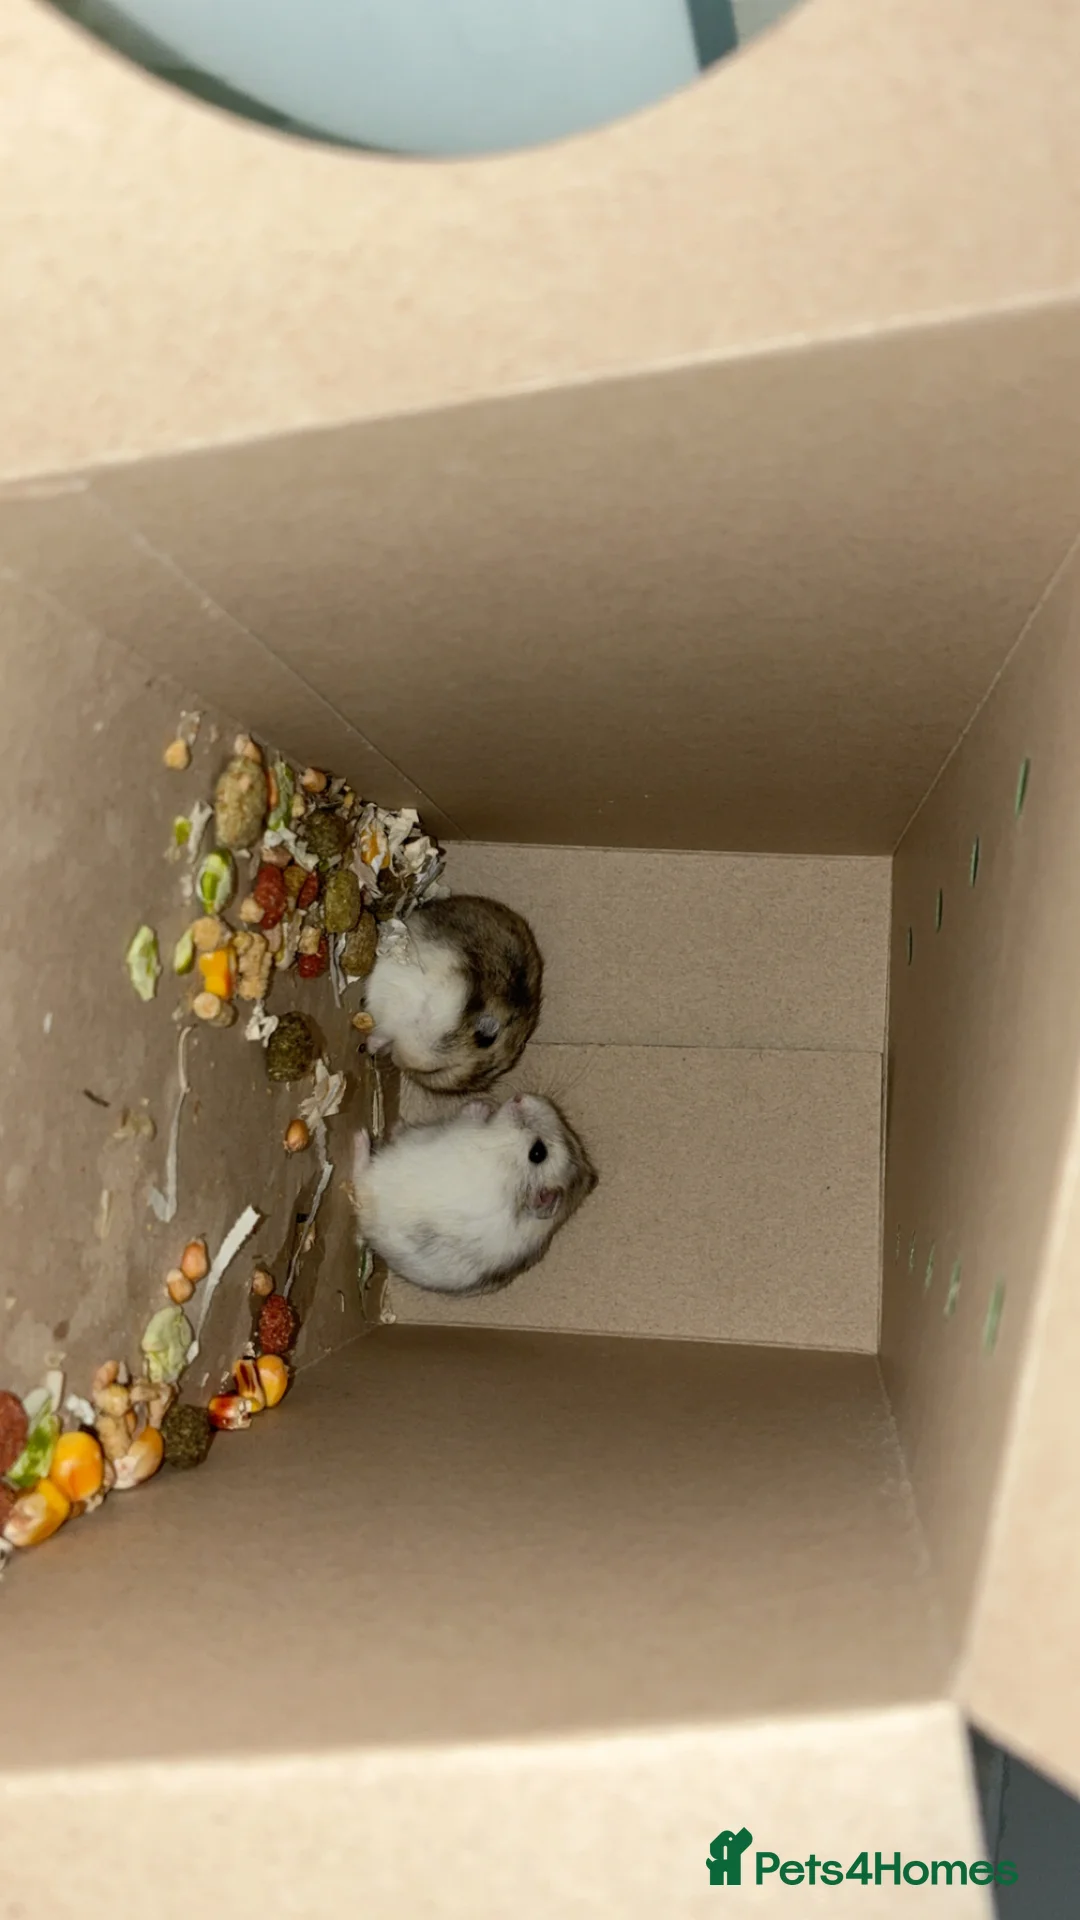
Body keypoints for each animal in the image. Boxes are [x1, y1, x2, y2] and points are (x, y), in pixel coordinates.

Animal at [351, 1092, 597, 1295]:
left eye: (538, 1152)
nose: (519, 1097)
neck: (507, 1160)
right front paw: (484, 1103)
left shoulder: (465, 1127)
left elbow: (467, 1115)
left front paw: (480, 1105)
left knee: (360, 1176)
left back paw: (361, 1137)